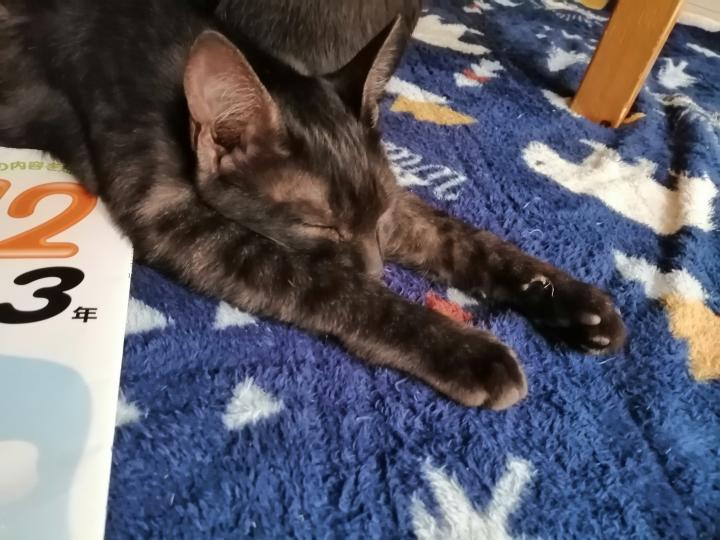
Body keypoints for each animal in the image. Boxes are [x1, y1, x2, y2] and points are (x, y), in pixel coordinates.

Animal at [0, 0, 625, 410]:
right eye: (321, 226)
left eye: (376, 217)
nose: (377, 268)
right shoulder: (175, 218)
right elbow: (327, 285)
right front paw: (467, 352)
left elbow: (461, 238)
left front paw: (574, 300)